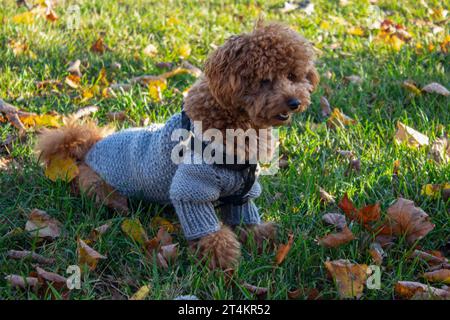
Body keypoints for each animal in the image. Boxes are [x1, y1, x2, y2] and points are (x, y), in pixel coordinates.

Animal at [35, 21, 318, 268]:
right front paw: (222, 260)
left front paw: (261, 237)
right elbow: (209, 232)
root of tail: (89, 149)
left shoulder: (242, 190)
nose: (295, 102)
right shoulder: (192, 187)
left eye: (293, 75)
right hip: (97, 186)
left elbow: (246, 216)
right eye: (264, 80)